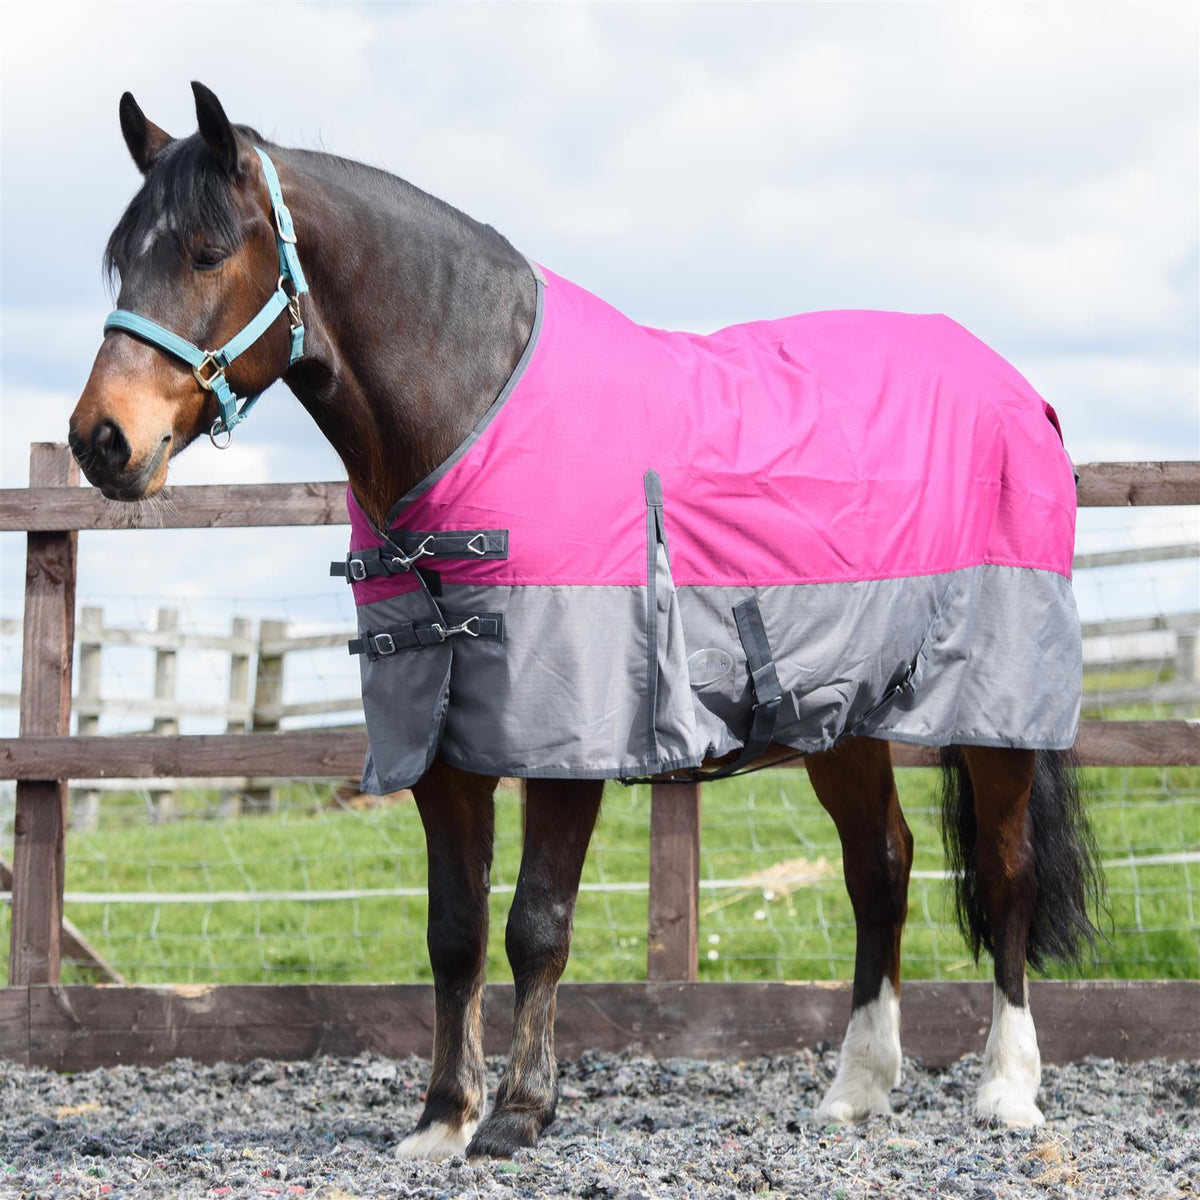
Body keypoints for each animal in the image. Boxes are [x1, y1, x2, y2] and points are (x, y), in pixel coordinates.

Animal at [70, 83, 1102, 1159]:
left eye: (205, 253)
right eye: (121, 258)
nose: (102, 441)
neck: (472, 410)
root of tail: (1017, 391)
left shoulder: (563, 736)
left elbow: (536, 923)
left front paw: (522, 1112)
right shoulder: (438, 740)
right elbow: (453, 932)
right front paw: (443, 1117)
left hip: (995, 711)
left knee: (1009, 871)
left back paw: (1008, 1090)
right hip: (838, 710)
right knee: (880, 868)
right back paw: (855, 1090)